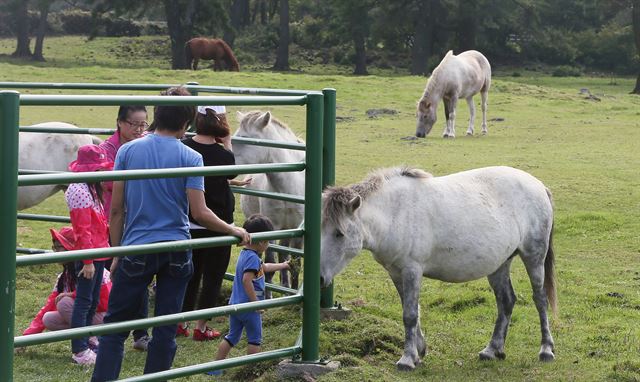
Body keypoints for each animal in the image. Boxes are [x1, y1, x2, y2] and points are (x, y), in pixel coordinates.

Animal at [234, 110, 306, 290]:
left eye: (244, 138)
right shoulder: (272, 228)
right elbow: (269, 263)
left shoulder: (298, 230)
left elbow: (296, 263)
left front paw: (293, 290)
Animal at [320, 166, 556, 370]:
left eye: (339, 233)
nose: (320, 279)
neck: (396, 212)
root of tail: (538, 185)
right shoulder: (396, 272)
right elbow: (410, 310)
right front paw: (418, 352)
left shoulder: (412, 270)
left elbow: (410, 314)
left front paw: (407, 359)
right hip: (500, 264)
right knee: (506, 301)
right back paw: (492, 350)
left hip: (534, 257)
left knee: (540, 299)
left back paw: (546, 350)